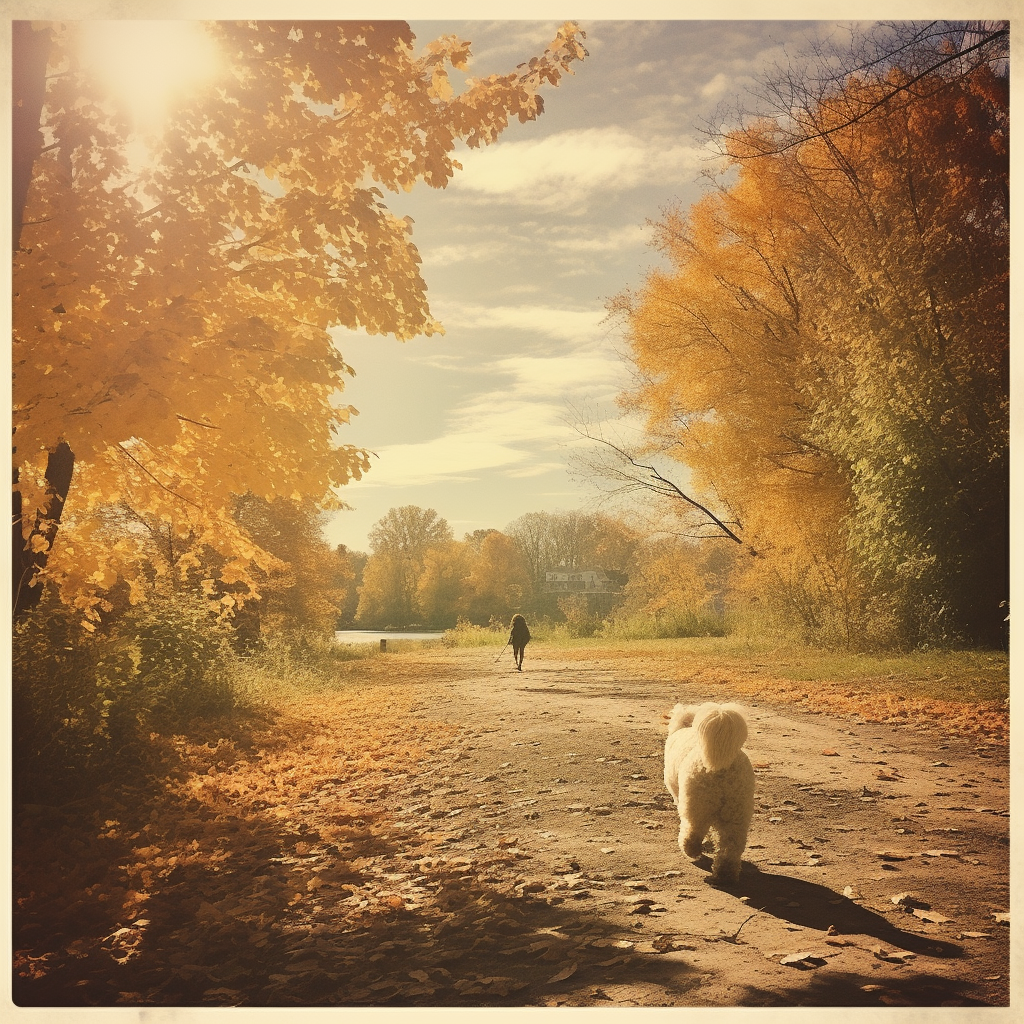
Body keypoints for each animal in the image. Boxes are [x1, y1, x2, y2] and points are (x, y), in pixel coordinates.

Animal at [659, 700, 757, 884]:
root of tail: (722, 767)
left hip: (697, 804)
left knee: (693, 831)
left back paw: (691, 850)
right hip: (737, 811)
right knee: (732, 845)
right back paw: (726, 873)